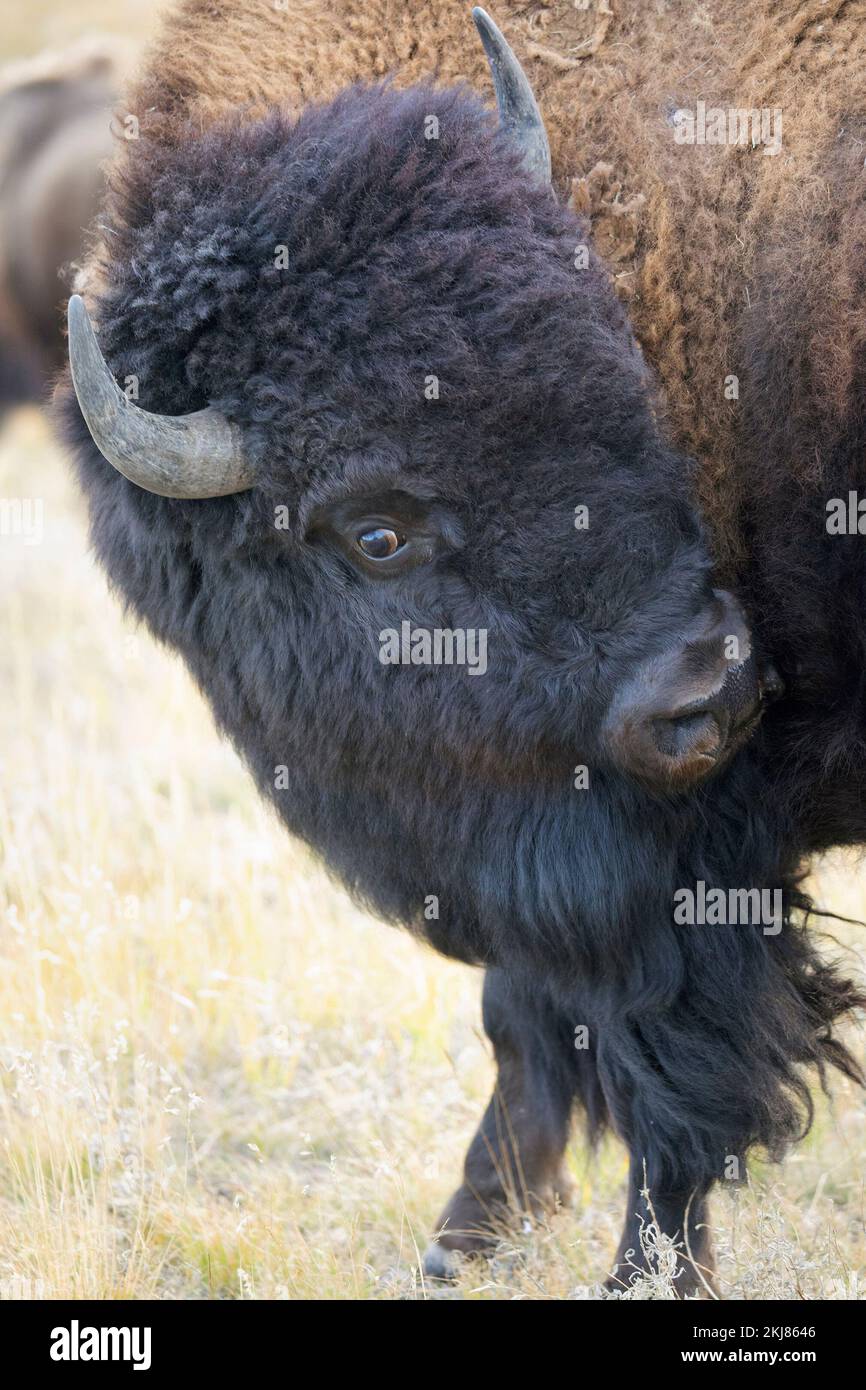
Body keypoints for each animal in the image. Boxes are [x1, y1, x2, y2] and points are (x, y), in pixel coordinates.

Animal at [55, 2, 866, 1301]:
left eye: (620, 379)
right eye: (375, 532)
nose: (704, 690)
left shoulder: (676, 852)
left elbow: (652, 1066)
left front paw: (624, 1267)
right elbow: (537, 1023)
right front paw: (468, 1240)